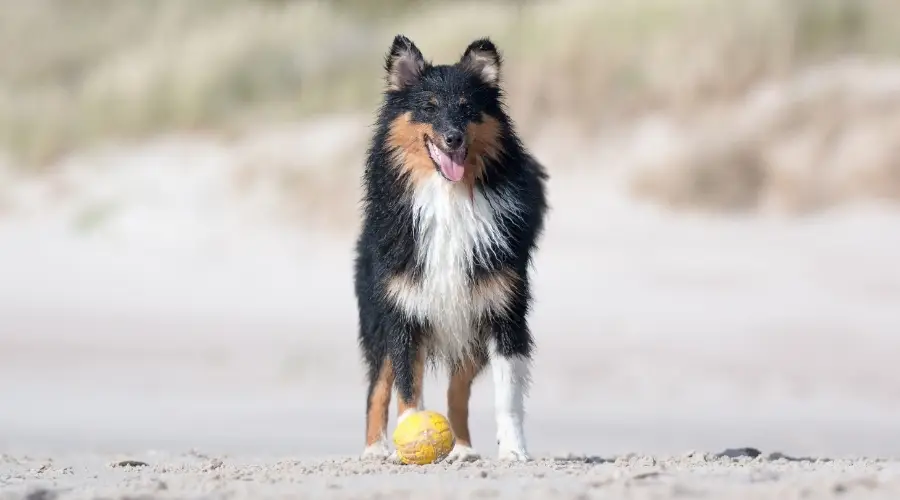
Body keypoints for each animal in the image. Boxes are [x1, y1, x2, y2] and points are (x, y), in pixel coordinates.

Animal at [354, 35, 548, 462]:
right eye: (428, 107)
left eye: (467, 108)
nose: (453, 138)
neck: (448, 200)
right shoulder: (404, 314)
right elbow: (406, 389)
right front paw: (411, 436)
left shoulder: (502, 312)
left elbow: (507, 397)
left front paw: (514, 451)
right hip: (378, 321)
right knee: (377, 386)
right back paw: (375, 447)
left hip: (469, 331)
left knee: (456, 393)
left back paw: (462, 448)